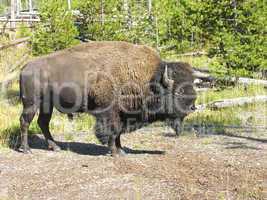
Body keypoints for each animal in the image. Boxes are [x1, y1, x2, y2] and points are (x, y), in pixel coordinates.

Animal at [18, 41, 197, 155]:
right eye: (179, 91)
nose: (193, 107)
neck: (150, 80)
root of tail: (25, 67)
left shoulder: (123, 114)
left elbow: (118, 133)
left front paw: (121, 150)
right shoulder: (109, 112)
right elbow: (113, 131)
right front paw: (114, 152)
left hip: (46, 104)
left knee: (43, 123)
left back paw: (55, 147)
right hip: (31, 103)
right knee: (25, 121)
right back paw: (26, 150)